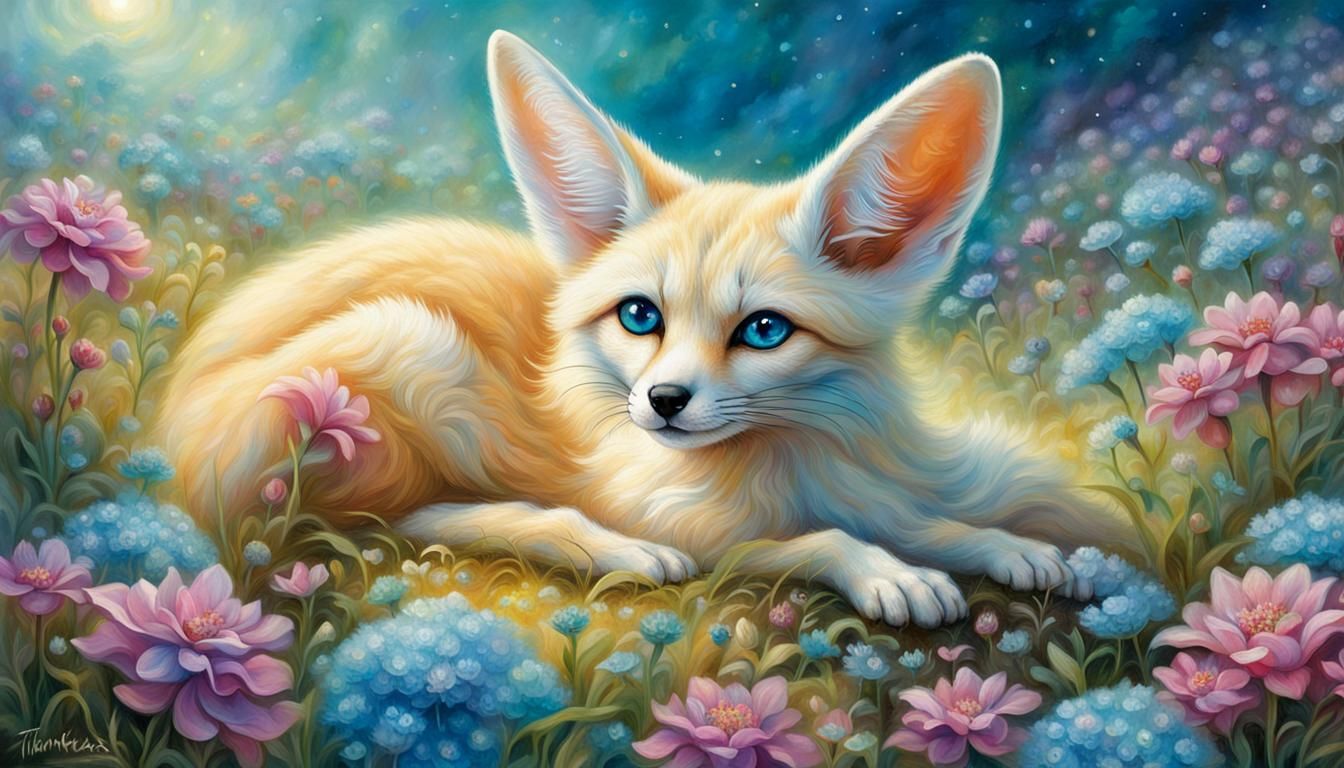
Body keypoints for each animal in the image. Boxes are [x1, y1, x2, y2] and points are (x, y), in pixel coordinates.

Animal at [159, 31, 1130, 628]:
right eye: (640, 316)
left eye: (764, 330)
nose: (662, 401)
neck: (783, 454)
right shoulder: (697, 522)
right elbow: (820, 541)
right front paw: (887, 572)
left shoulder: (855, 478)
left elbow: (922, 517)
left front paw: (1009, 547)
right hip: (407, 345)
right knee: (402, 519)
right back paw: (608, 545)